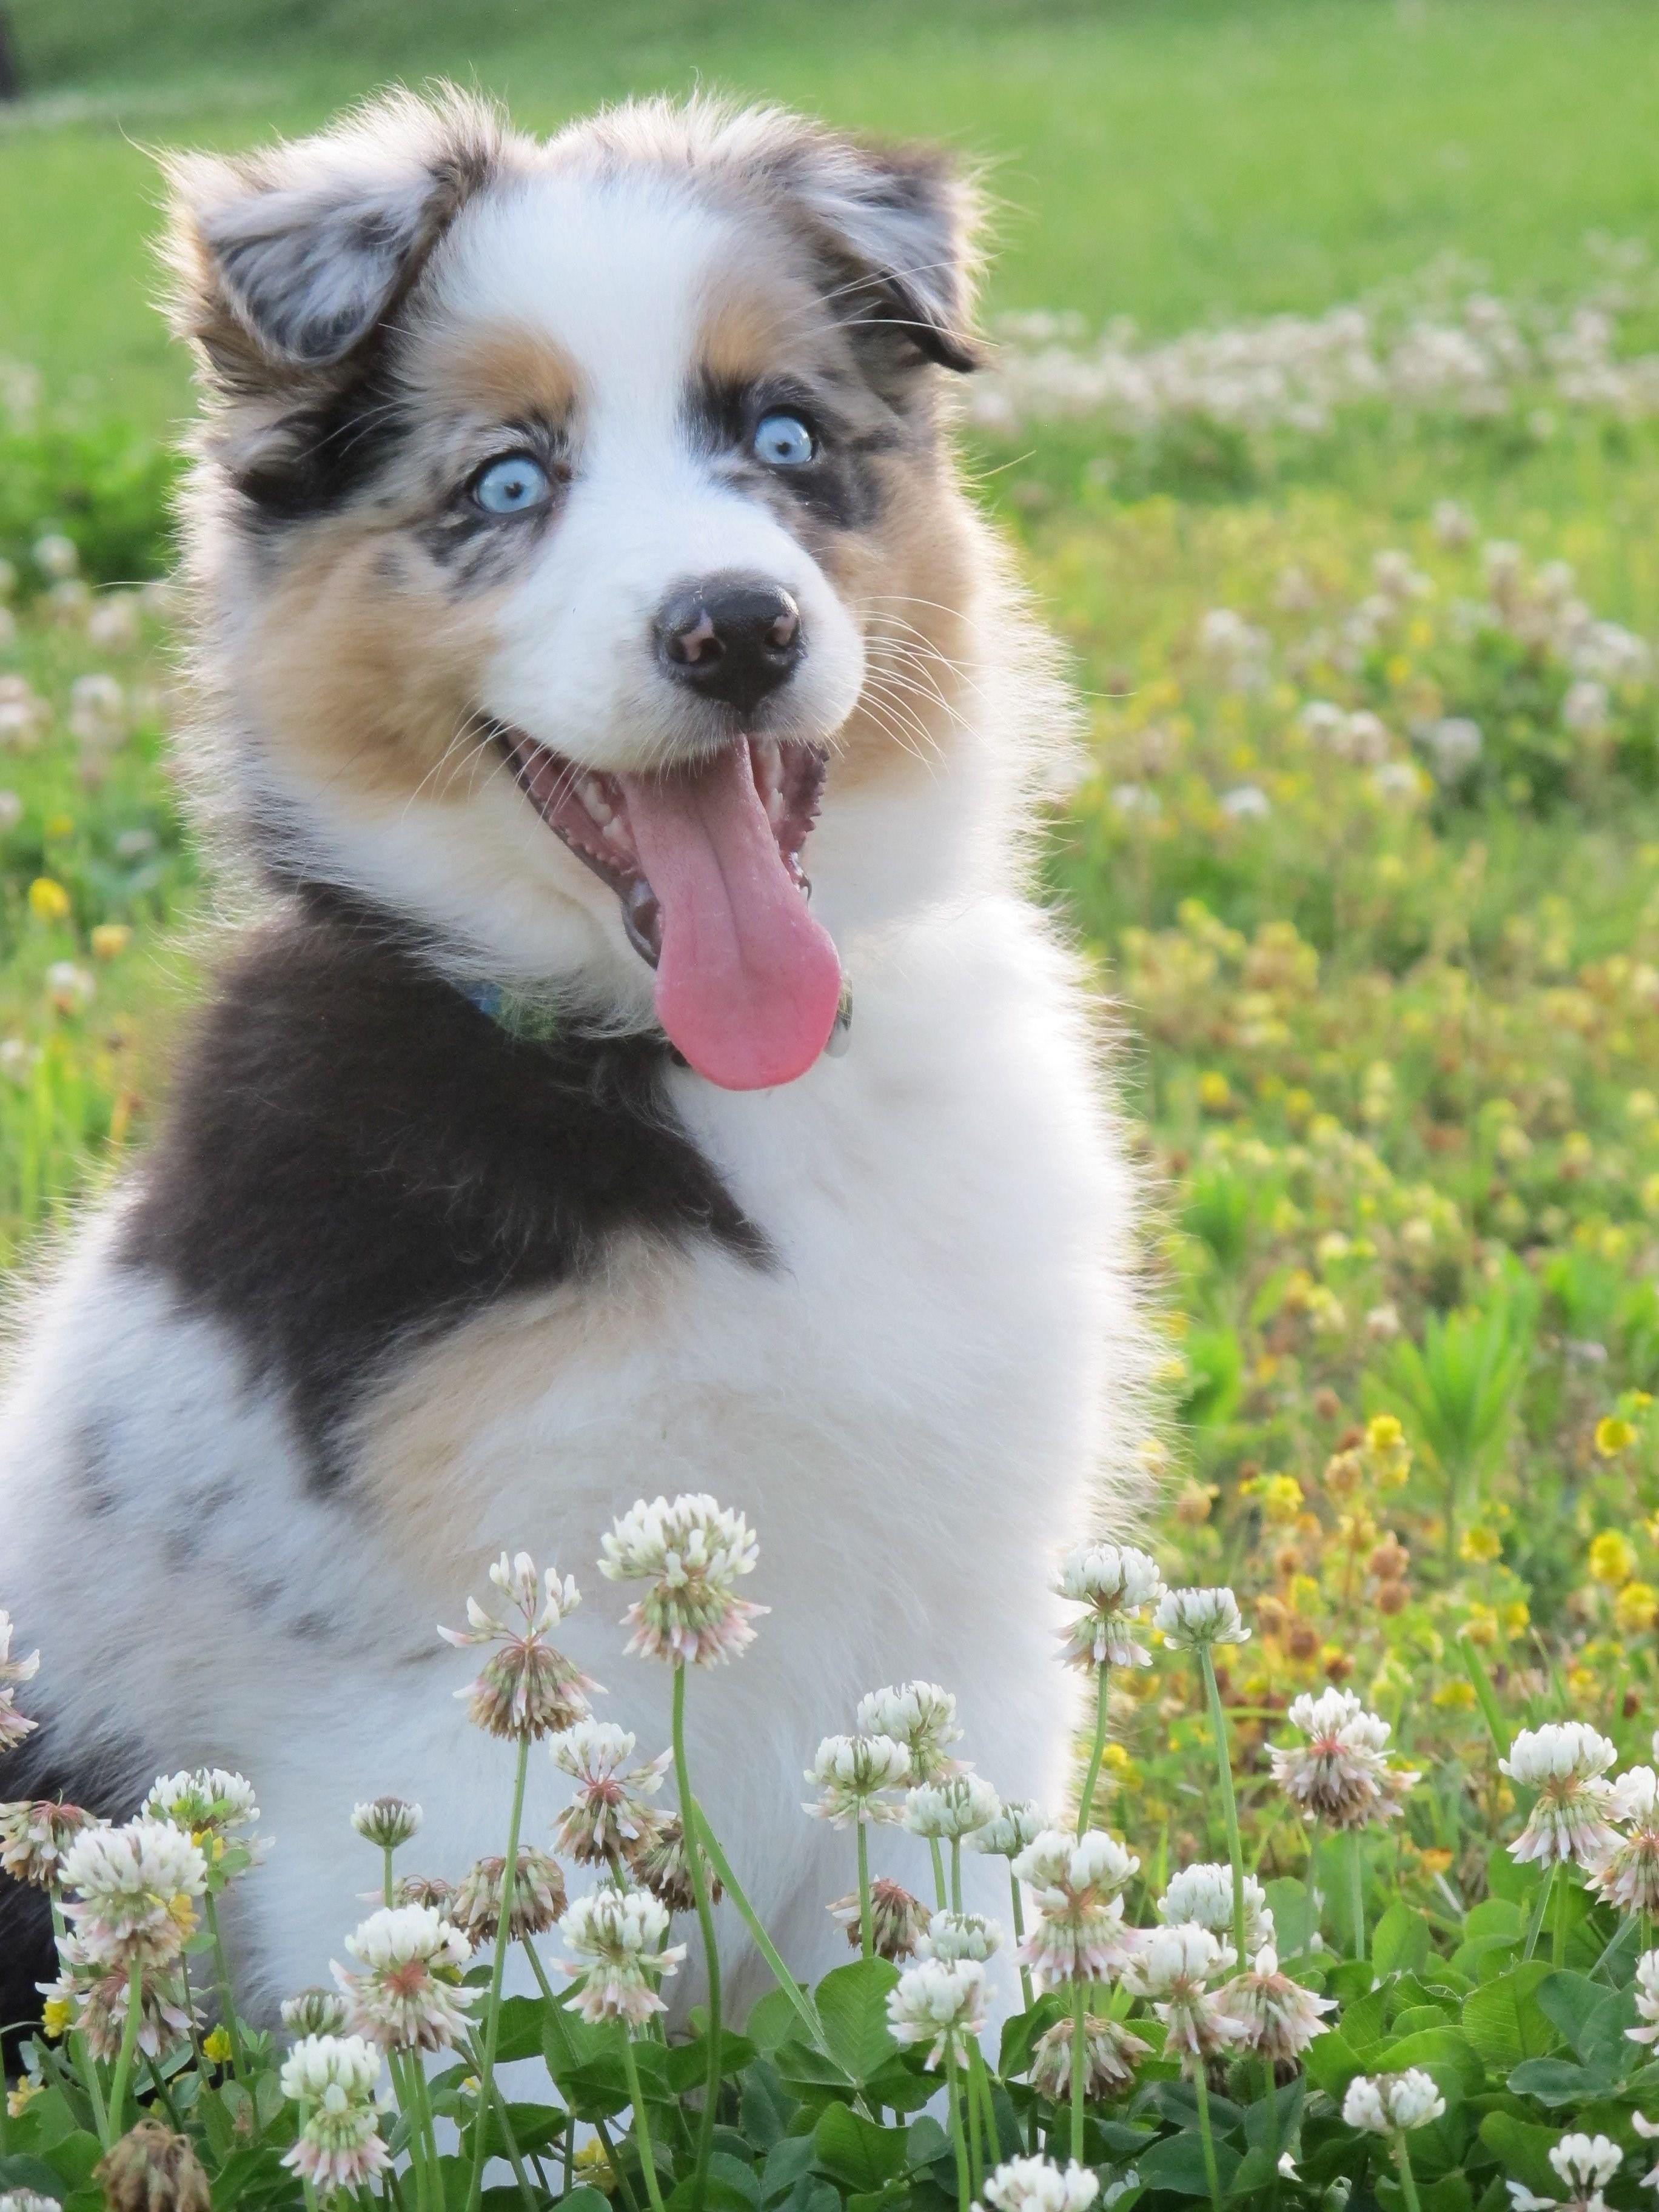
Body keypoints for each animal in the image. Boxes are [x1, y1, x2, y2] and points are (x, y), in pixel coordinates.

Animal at [0, 81, 1150, 2026]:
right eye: (507, 486)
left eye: (784, 437)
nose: (738, 627)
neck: (716, 1089)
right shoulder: (464, 1714)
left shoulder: (960, 1639)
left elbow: (961, 2011)